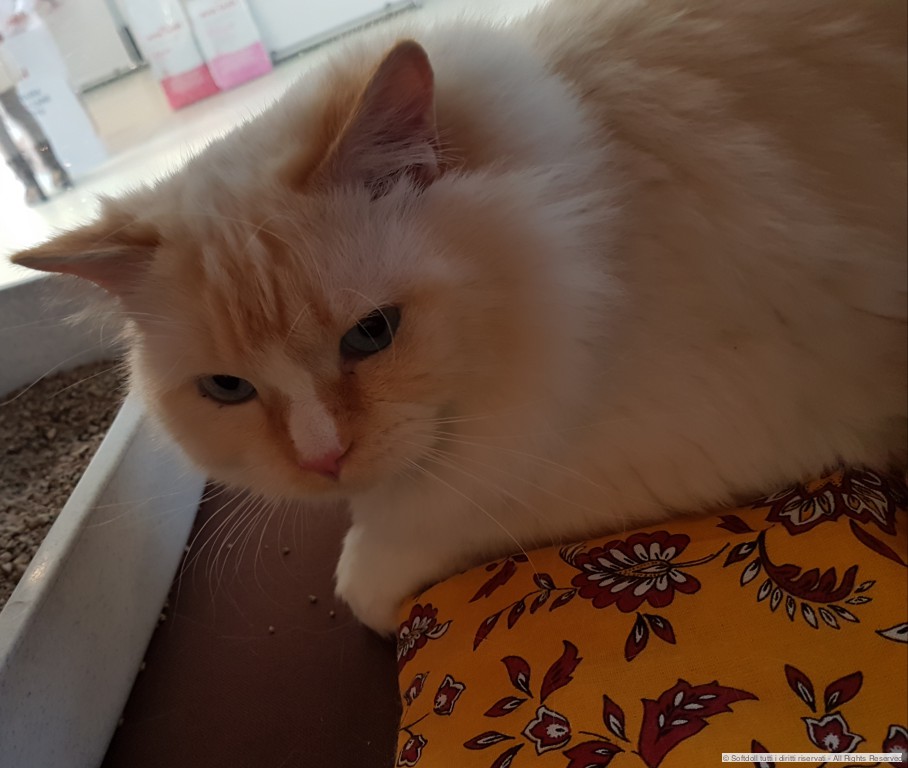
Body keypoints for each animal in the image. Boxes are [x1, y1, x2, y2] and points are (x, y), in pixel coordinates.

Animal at [11, 0, 907, 634]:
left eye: (372, 334)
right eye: (228, 390)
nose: (322, 460)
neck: (590, 205)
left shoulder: (679, 432)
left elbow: (436, 514)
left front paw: (366, 572)